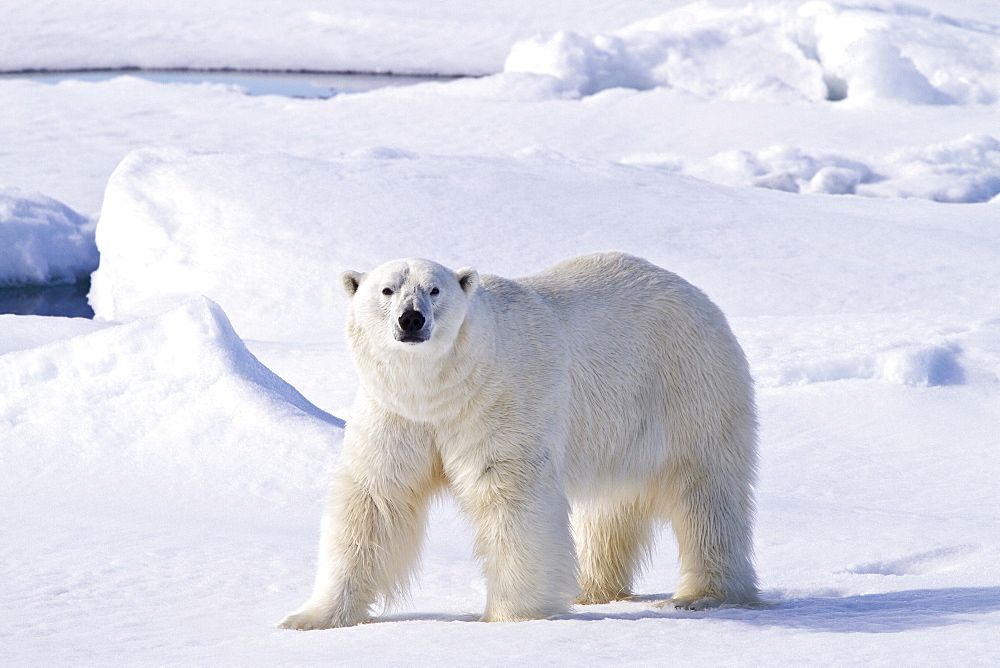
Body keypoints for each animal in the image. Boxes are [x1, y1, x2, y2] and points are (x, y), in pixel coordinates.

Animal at [278, 252, 760, 632]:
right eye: (386, 289)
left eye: (434, 289)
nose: (411, 318)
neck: (444, 390)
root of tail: (693, 292)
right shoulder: (397, 415)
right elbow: (374, 501)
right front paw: (309, 618)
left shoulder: (499, 402)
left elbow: (510, 496)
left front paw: (511, 616)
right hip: (616, 424)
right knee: (609, 505)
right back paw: (589, 588)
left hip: (686, 384)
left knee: (706, 491)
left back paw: (701, 594)